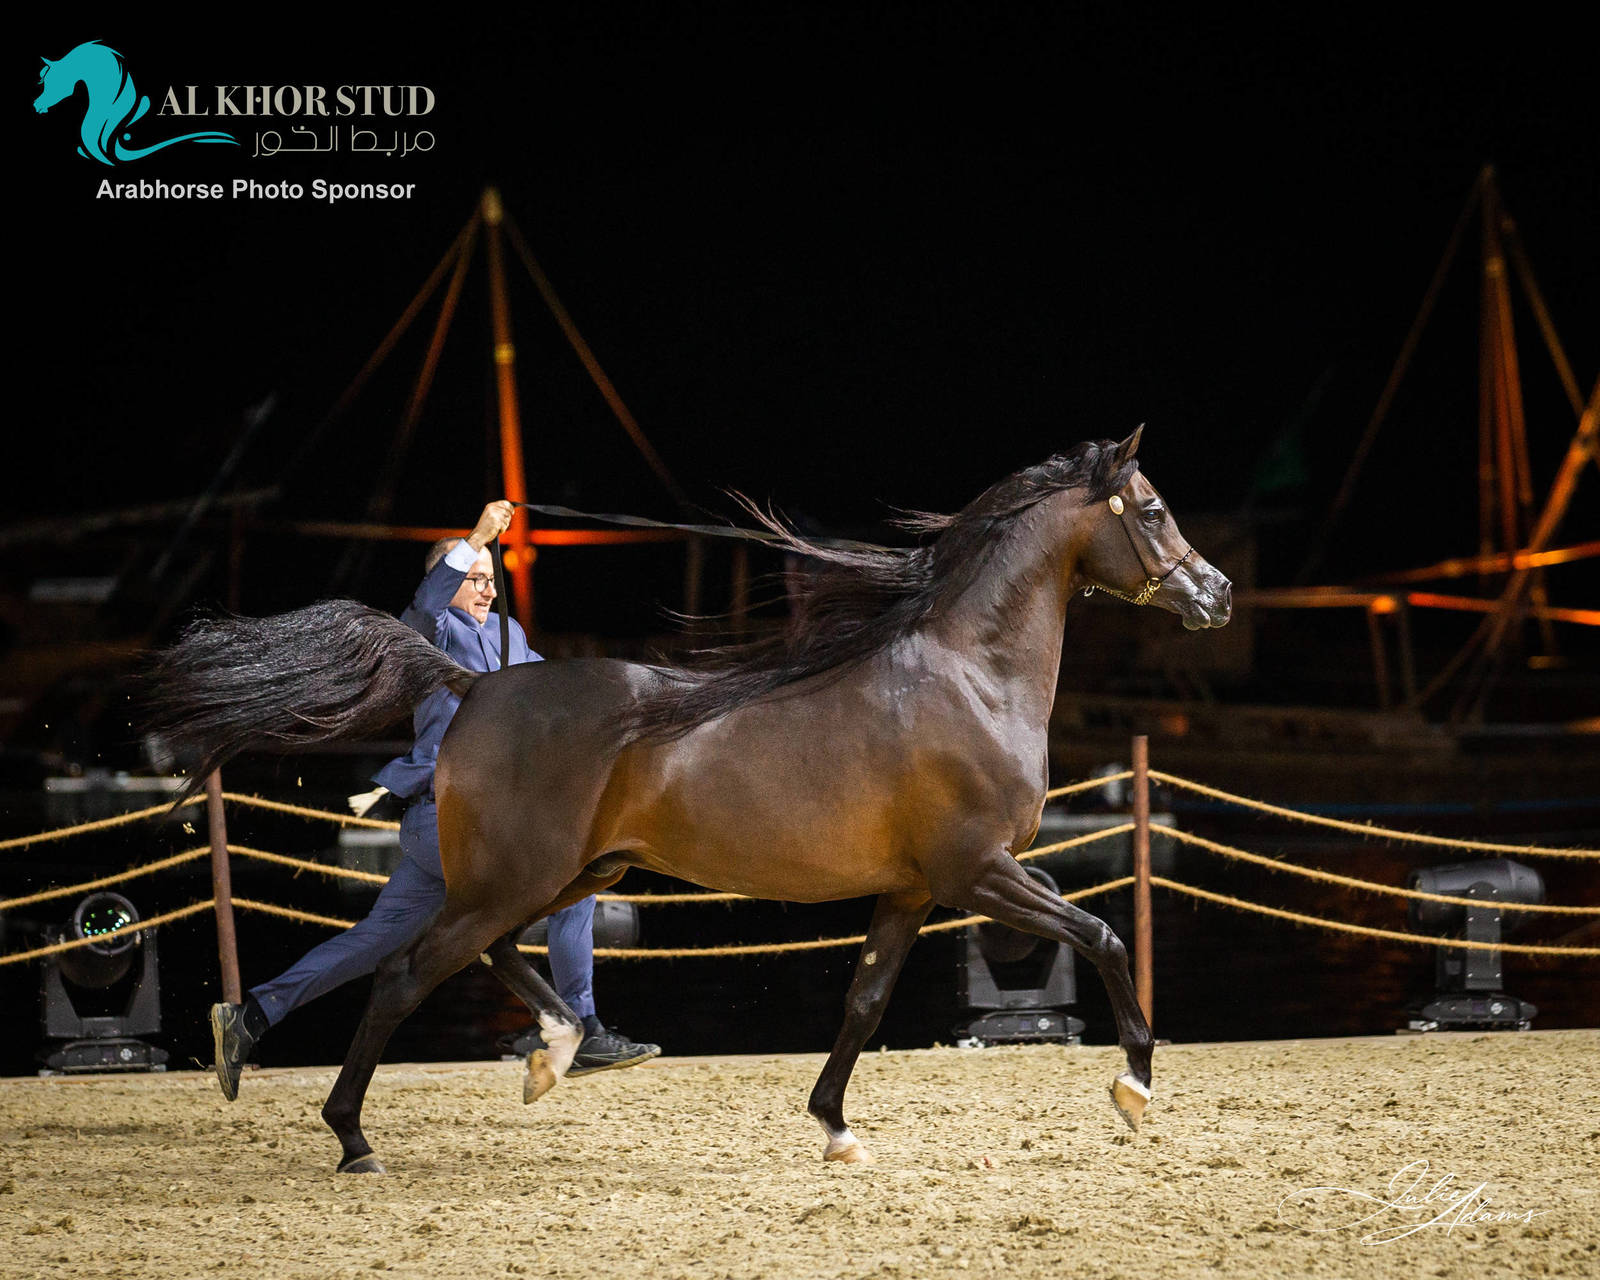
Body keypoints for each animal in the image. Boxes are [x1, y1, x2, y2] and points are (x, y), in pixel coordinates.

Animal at [147, 428, 1231, 1173]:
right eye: (1151, 507)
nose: (1216, 595)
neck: (969, 674)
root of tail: (471, 686)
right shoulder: (979, 871)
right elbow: (1104, 935)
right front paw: (1134, 1085)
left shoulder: (915, 889)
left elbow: (864, 1000)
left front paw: (836, 1129)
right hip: (514, 879)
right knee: (404, 973)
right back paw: (354, 1135)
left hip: (557, 875)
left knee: (482, 956)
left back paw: (555, 1051)